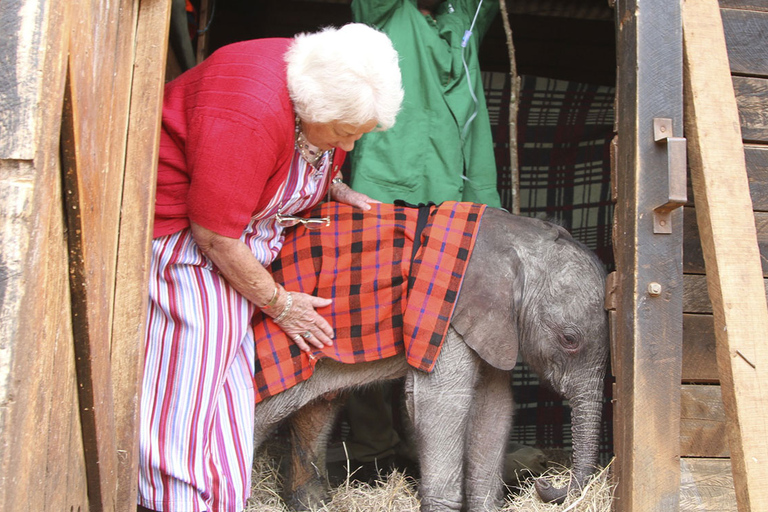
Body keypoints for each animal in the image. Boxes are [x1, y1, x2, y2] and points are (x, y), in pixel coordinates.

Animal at [255, 207, 608, 508]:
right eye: (569, 340)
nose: (545, 482)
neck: (519, 237)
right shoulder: (449, 309)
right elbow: (443, 402)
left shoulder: (493, 321)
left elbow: (494, 405)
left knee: (318, 410)